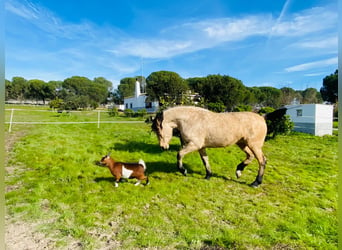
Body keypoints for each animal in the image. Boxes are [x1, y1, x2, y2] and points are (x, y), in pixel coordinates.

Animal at [152, 106, 286, 188]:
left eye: (158, 130)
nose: (163, 147)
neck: (191, 120)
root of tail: (262, 117)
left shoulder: (194, 145)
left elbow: (179, 154)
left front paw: (183, 171)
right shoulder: (201, 147)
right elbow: (205, 161)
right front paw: (208, 176)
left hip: (254, 145)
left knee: (262, 161)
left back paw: (256, 182)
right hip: (243, 143)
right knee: (251, 156)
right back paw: (239, 171)